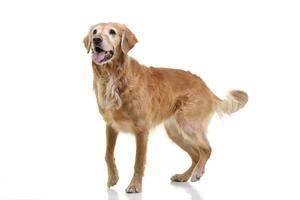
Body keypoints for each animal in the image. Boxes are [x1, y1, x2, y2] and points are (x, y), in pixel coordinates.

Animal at [82, 22, 248, 193]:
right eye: (95, 31)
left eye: (112, 32)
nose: (96, 40)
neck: (114, 77)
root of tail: (206, 87)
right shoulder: (111, 125)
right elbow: (108, 154)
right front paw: (113, 178)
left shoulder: (142, 129)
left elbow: (138, 161)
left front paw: (135, 185)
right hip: (175, 132)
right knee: (196, 154)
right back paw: (183, 176)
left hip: (188, 124)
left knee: (206, 149)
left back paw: (197, 173)